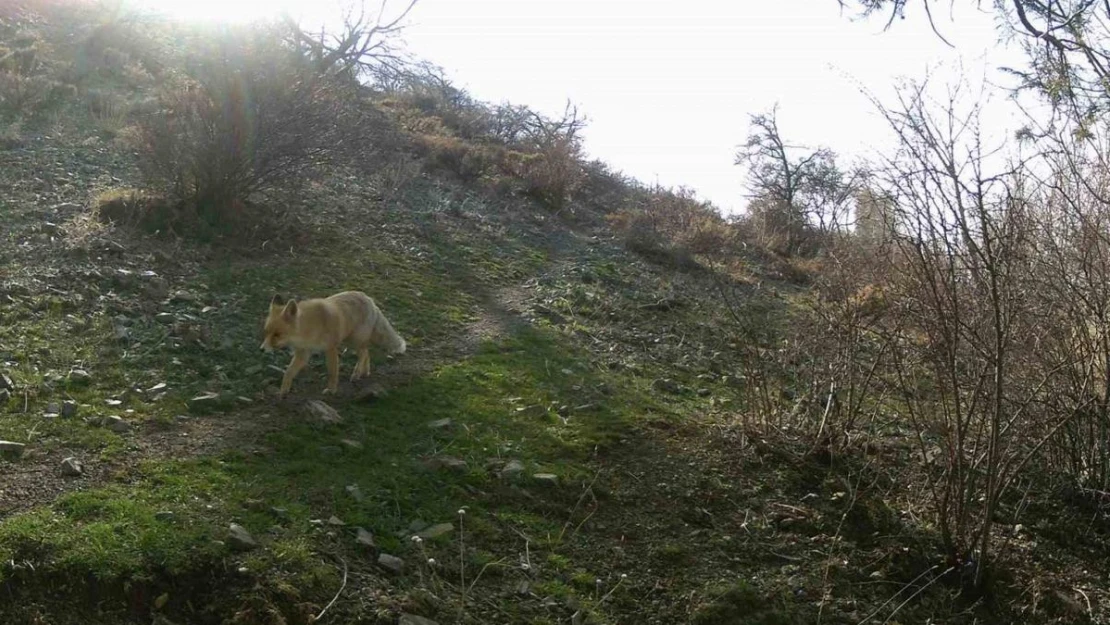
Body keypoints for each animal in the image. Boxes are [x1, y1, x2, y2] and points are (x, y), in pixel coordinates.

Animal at [259, 293, 408, 395]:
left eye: (277, 335)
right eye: (266, 332)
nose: (261, 349)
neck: (309, 328)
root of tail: (369, 299)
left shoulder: (330, 348)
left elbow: (332, 372)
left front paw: (331, 390)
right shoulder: (303, 352)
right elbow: (288, 372)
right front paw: (283, 391)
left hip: (354, 340)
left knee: (364, 353)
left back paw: (356, 374)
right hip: (350, 340)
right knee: (367, 353)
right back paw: (365, 372)